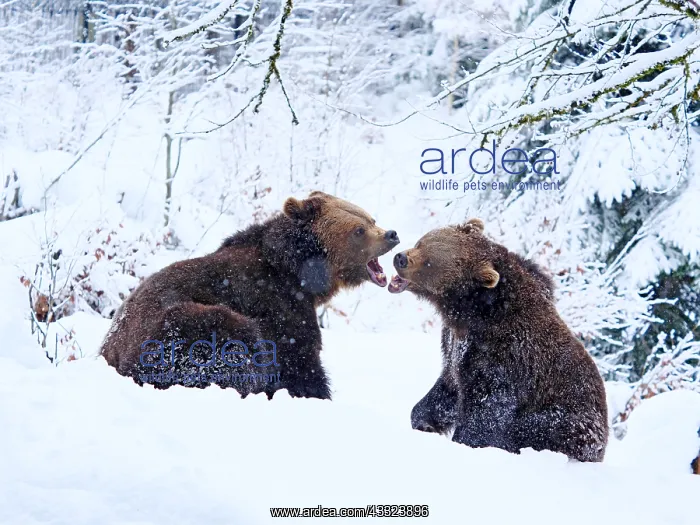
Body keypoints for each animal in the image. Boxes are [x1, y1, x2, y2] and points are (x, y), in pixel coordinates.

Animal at [100, 191, 399, 400]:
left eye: (370, 218)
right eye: (358, 230)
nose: (391, 234)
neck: (300, 273)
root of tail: (111, 352)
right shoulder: (278, 306)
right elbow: (301, 360)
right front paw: (315, 391)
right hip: (175, 331)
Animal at [387, 218, 609, 462]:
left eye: (429, 263)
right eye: (422, 242)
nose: (401, 258)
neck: (471, 314)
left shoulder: (505, 356)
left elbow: (486, 411)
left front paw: (465, 442)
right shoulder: (455, 347)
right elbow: (446, 390)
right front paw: (424, 421)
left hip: (568, 422)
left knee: (528, 429)